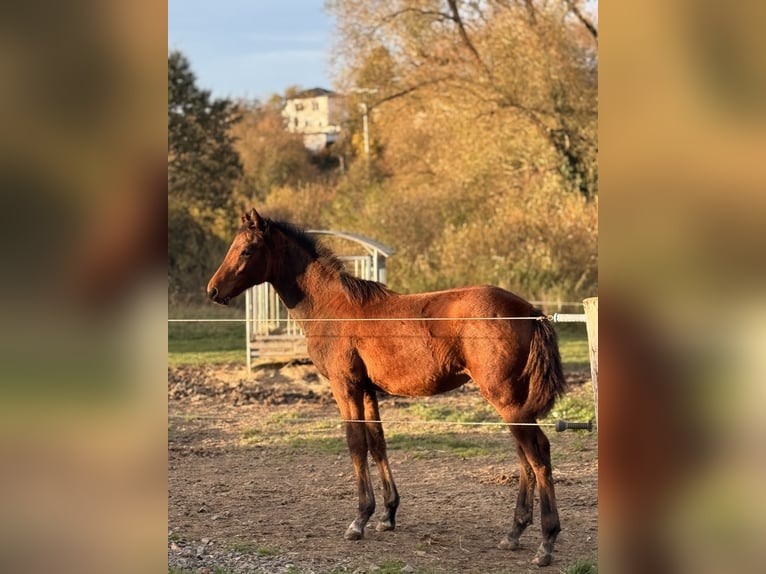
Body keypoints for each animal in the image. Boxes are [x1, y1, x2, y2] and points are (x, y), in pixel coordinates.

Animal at [207, 209, 568, 568]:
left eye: (247, 250)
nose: (212, 290)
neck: (331, 307)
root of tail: (530, 312)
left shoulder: (345, 386)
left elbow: (356, 443)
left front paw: (359, 520)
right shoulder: (367, 390)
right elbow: (377, 442)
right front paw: (387, 514)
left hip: (505, 399)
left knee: (537, 452)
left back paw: (546, 543)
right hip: (512, 401)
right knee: (524, 455)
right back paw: (514, 533)